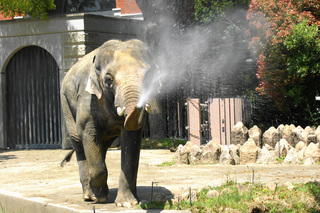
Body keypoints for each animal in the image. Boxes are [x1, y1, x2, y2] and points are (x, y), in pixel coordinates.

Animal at [60, 39, 152, 207]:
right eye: (108, 80)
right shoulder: (87, 97)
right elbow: (88, 132)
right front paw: (99, 199)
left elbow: (131, 139)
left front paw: (127, 204)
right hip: (65, 103)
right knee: (78, 141)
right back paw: (89, 196)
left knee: (102, 145)